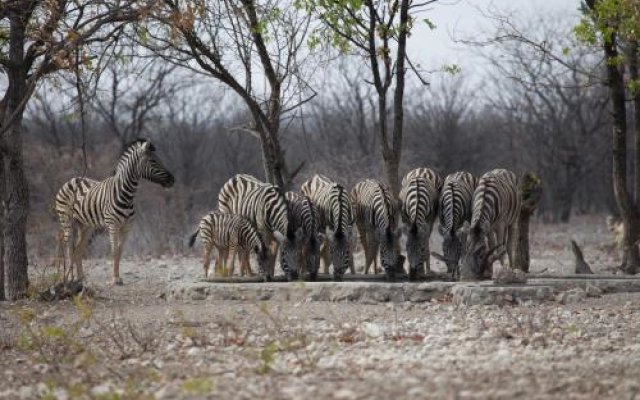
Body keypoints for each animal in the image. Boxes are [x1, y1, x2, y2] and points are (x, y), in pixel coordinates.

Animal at [53, 139, 174, 286]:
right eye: (153, 161)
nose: (172, 180)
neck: (126, 195)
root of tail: (72, 179)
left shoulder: (127, 227)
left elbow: (120, 251)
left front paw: (117, 277)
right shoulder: (113, 225)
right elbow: (114, 250)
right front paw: (114, 279)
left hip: (86, 225)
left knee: (78, 249)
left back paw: (81, 278)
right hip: (66, 219)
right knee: (68, 246)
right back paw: (69, 278)